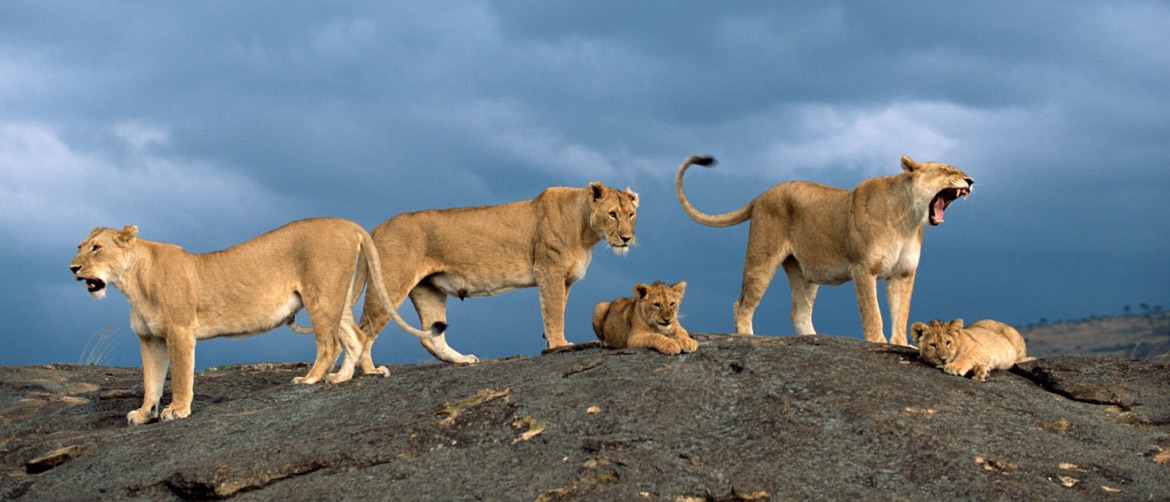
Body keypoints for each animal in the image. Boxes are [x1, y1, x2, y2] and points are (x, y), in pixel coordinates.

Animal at [69, 218, 443, 424]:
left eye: (96, 248)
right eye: (79, 246)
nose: (72, 268)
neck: (131, 282)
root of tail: (349, 224)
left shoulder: (179, 331)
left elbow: (181, 377)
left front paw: (177, 410)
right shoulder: (150, 340)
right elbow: (151, 380)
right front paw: (145, 413)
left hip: (321, 296)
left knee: (330, 344)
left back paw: (311, 379)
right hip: (339, 297)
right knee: (354, 336)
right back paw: (344, 378)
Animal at [354, 182, 639, 369]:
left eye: (631, 214)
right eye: (612, 214)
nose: (627, 238)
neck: (586, 231)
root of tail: (377, 228)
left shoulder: (565, 279)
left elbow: (557, 311)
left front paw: (553, 343)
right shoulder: (549, 270)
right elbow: (554, 313)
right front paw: (561, 345)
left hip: (428, 290)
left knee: (432, 337)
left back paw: (462, 360)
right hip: (391, 282)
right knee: (364, 330)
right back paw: (371, 371)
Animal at [676, 154, 973, 346]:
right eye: (948, 171)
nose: (970, 180)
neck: (908, 219)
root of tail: (762, 194)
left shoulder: (903, 274)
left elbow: (901, 313)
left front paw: (900, 344)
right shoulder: (863, 268)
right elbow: (872, 312)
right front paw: (877, 341)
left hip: (804, 272)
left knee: (799, 312)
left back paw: (813, 339)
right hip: (762, 258)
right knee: (743, 303)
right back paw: (747, 337)